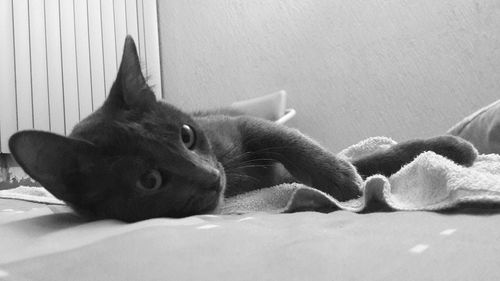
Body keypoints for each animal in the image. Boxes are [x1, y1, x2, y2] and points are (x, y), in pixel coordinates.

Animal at [6, 35, 476, 221]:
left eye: (187, 135)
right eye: (149, 180)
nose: (210, 177)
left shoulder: (242, 124)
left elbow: (302, 145)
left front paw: (344, 181)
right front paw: (350, 184)